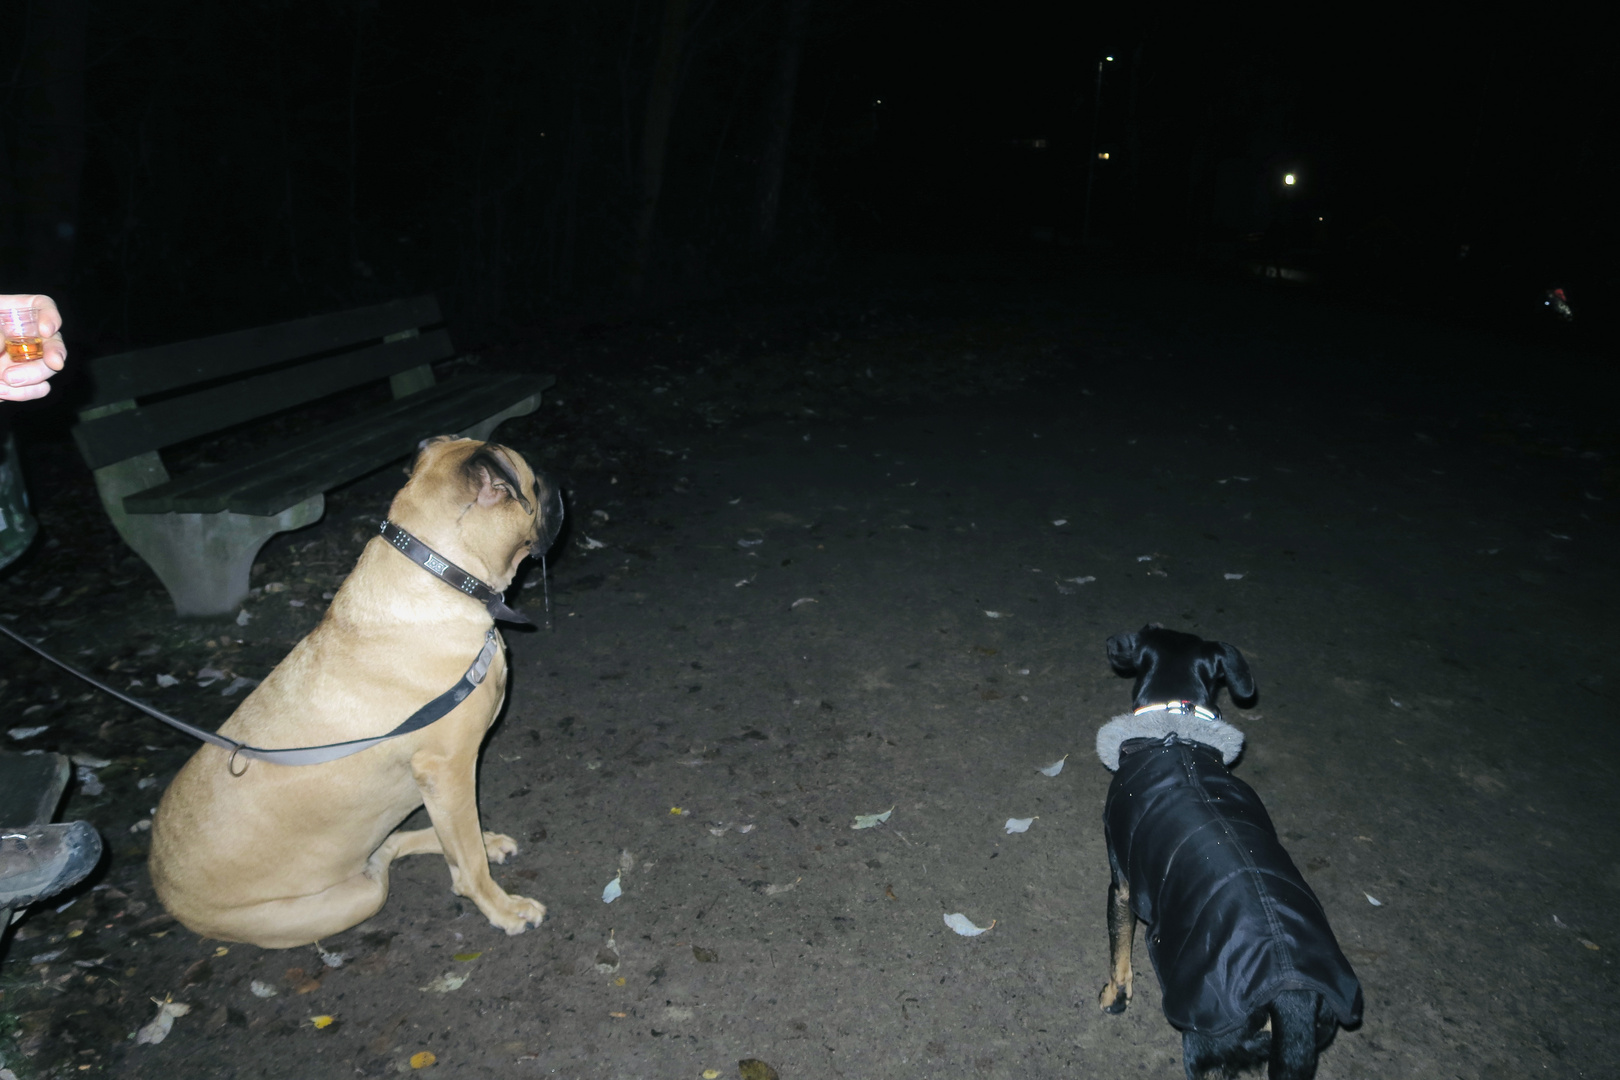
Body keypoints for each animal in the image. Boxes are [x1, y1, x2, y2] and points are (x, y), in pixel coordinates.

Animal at [152, 437, 557, 945]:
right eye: (535, 484)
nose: (560, 483)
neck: (442, 574)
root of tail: (165, 892)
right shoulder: (447, 771)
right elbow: (468, 866)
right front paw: (503, 908)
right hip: (354, 898)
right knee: (385, 865)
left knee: (391, 844)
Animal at [1095, 628, 1360, 1075]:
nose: (1112, 642)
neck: (1177, 732)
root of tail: (1294, 995)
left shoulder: (1123, 886)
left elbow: (1119, 951)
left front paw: (1114, 996)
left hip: (1204, 1041)